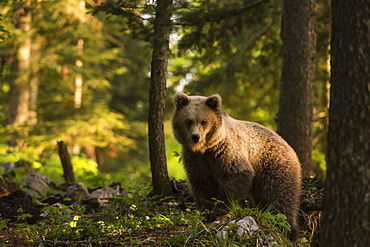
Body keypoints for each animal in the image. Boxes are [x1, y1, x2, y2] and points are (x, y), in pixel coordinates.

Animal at [172, 92, 302, 239]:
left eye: (203, 121)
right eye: (188, 121)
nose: (195, 137)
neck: (206, 148)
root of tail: (289, 147)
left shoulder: (226, 150)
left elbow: (236, 175)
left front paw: (218, 210)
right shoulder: (196, 159)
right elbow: (202, 183)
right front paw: (206, 213)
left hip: (273, 165)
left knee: (279, 197)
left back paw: (289, 230)